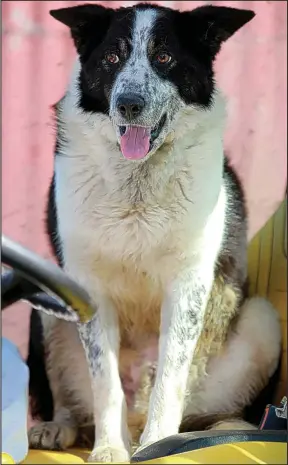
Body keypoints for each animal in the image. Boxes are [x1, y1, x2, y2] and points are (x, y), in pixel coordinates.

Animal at [27, 2, 282, 460]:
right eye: (112, 58)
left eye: (164, 58)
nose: (129, 104)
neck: (137, 183)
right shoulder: (87, 285)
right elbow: (105, 382)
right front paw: (110, 450)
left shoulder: (189, 285)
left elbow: (170, 376)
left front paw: (160, 445)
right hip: (48, 296)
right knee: (74, 404)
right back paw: (60, 428)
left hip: (262, 319)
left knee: (212, 412)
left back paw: (226, 429)